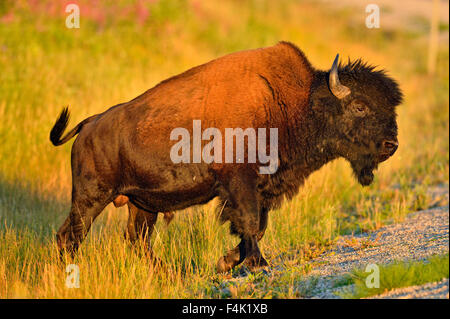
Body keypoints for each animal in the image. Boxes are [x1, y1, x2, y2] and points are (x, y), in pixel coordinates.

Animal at [49, 42, 400, 272]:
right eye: (359, 106)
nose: (391, 144)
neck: (300, 103)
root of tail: (89, 124)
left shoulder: (263, 189)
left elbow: (257, 226)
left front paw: (226, 262)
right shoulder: (240, 184)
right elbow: (249, 222)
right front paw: (258, 265)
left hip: (141, 204)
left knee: (137, 240)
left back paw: (167, 273)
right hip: (91, 198)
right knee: (69, 237)